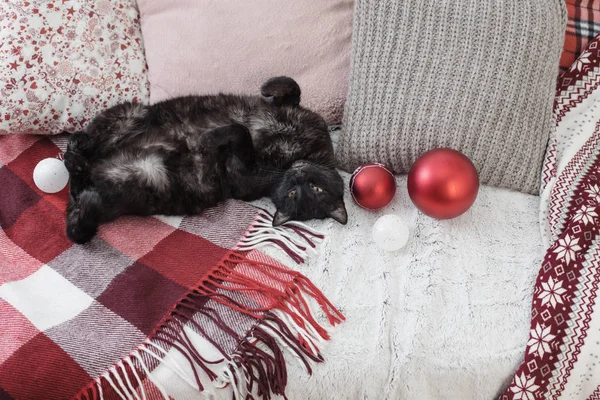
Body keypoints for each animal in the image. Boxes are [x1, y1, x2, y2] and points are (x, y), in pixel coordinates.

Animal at [63, 76, 346, 244]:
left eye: (311, 191)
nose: (297, 176)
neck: (298, 153)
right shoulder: (301, 114)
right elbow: (292, 88)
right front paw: (268, 88)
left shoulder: (244, 178)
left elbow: (240, 132)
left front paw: (207, 140)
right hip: (130, 112)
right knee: (85, 150)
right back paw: (78, 150)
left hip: (138, 178)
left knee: (80, 198)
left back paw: (79, 170)